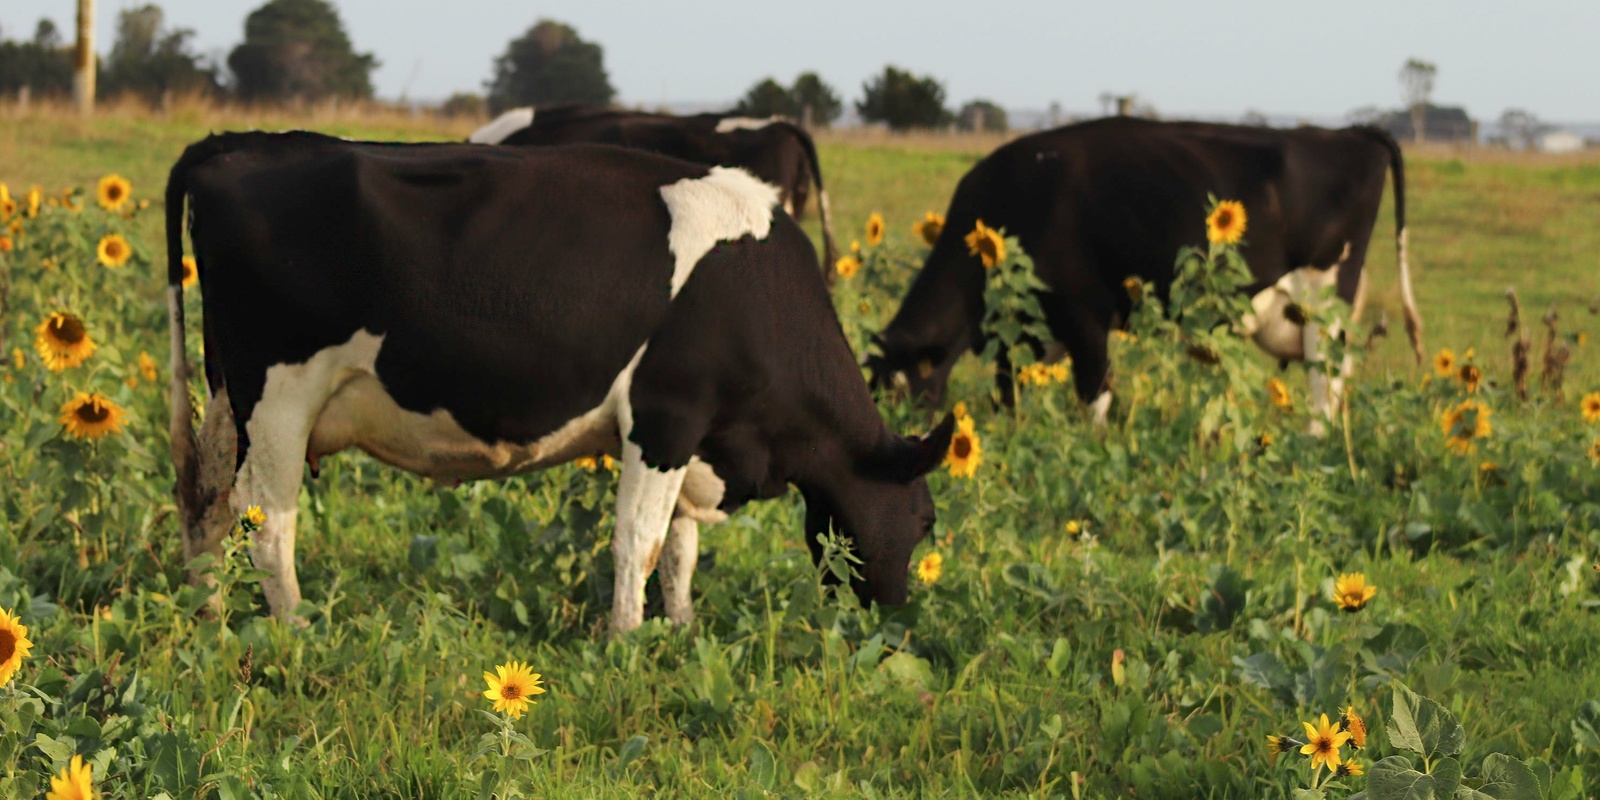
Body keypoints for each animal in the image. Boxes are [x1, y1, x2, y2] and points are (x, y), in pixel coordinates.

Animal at [165, 129, 947, 630]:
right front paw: (626, 644)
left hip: (228, 398)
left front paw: (683, 630)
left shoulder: (695, 438)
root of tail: (238, 142)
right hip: (279, 397)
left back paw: (211, 620)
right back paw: (297, 633)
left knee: (205, 504)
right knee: (268, 522)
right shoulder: (665, 417)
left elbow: (681, 551)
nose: (897, 617)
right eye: (928, 519)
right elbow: (640, 542)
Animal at [870, 116, 1433, 425]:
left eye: (898, 388)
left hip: (1324, 295)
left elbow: (1094, 397)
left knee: (1324, 385)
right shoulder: (1023, 330)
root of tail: (1350, 134)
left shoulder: (1084, 314)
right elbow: (1007, 393)